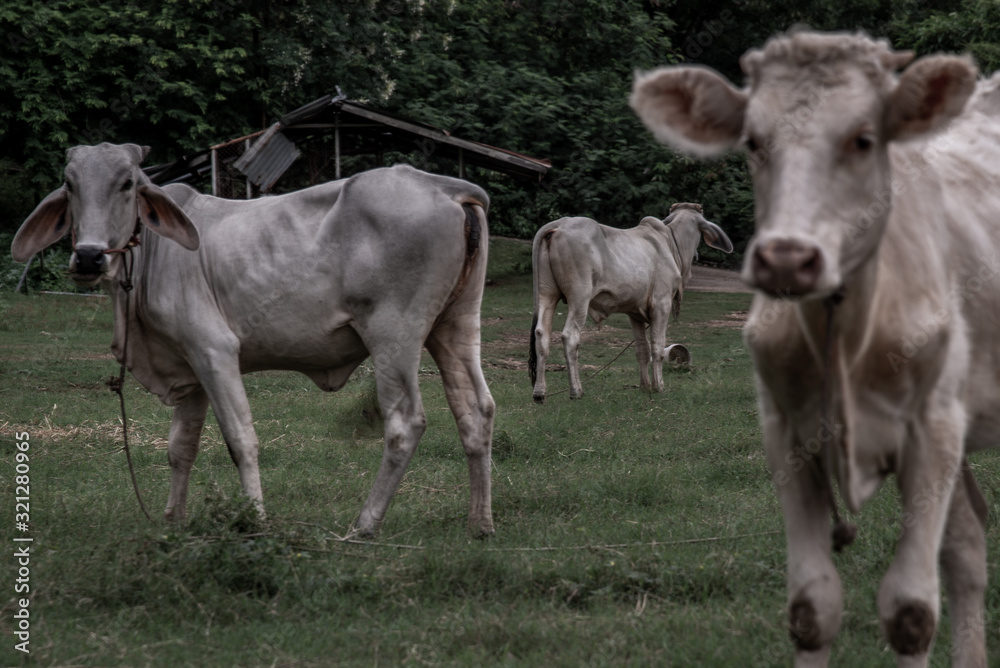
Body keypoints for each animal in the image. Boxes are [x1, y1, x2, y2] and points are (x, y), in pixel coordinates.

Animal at [13, 142, 498, 536]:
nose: (89, 257)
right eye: (70, 184)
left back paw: (364, 525)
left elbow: (240, 441)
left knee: (405, 423)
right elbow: (180, 448)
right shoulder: (190, 368)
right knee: (476, 411)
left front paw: (255, 519)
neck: (153, 256)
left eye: (127, 183)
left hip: (393, 334)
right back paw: (480, 524)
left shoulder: (214, 350)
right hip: (456, 324)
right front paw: (173, 521)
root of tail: (444, 187)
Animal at [528, 204, 732, 402]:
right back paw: (576, 391)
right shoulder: (662, 304)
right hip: (580, 296)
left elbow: (642, 350)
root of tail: (558, 225)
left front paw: (645, 386)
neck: (671, 243)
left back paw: (539, 392)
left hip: (546, 293)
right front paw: (659, 386)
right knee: (570, 337)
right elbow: (657, 347)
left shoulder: (634, 313)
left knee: (541, 335)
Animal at [632, 31, 1000, 668]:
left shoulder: (932, 431)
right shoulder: (787, 433)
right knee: (967, 542)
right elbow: (811, 610)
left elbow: (911, 613)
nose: (786, 258)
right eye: (753, 141)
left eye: (864, 139)